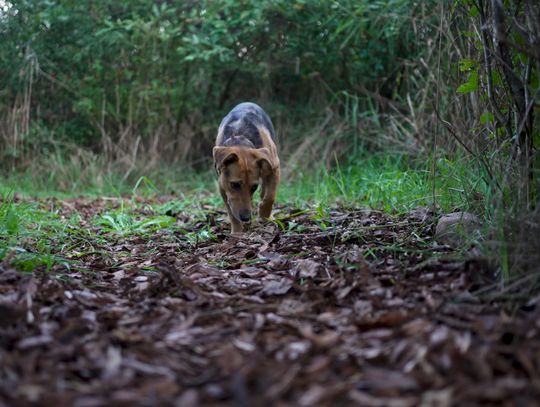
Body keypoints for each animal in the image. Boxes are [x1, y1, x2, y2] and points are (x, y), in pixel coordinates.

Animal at [213, 102, 280, 234]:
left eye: (254, 186)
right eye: (235, 185)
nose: (246, 218)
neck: (240, 137)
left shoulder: (275, 167)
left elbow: (270, 196)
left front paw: (264, 214)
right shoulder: (222, 186)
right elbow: (231, 212)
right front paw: (237, 232)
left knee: (265, 191)